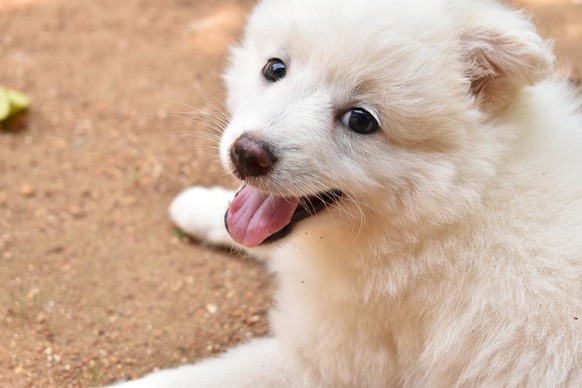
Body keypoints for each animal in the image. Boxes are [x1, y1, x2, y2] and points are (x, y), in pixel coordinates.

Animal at [121, 0, 580, 386]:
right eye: (274, 68)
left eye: (361, 120)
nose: (247, 155)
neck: (462, 202)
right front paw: (197, 205)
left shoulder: (324, 359)